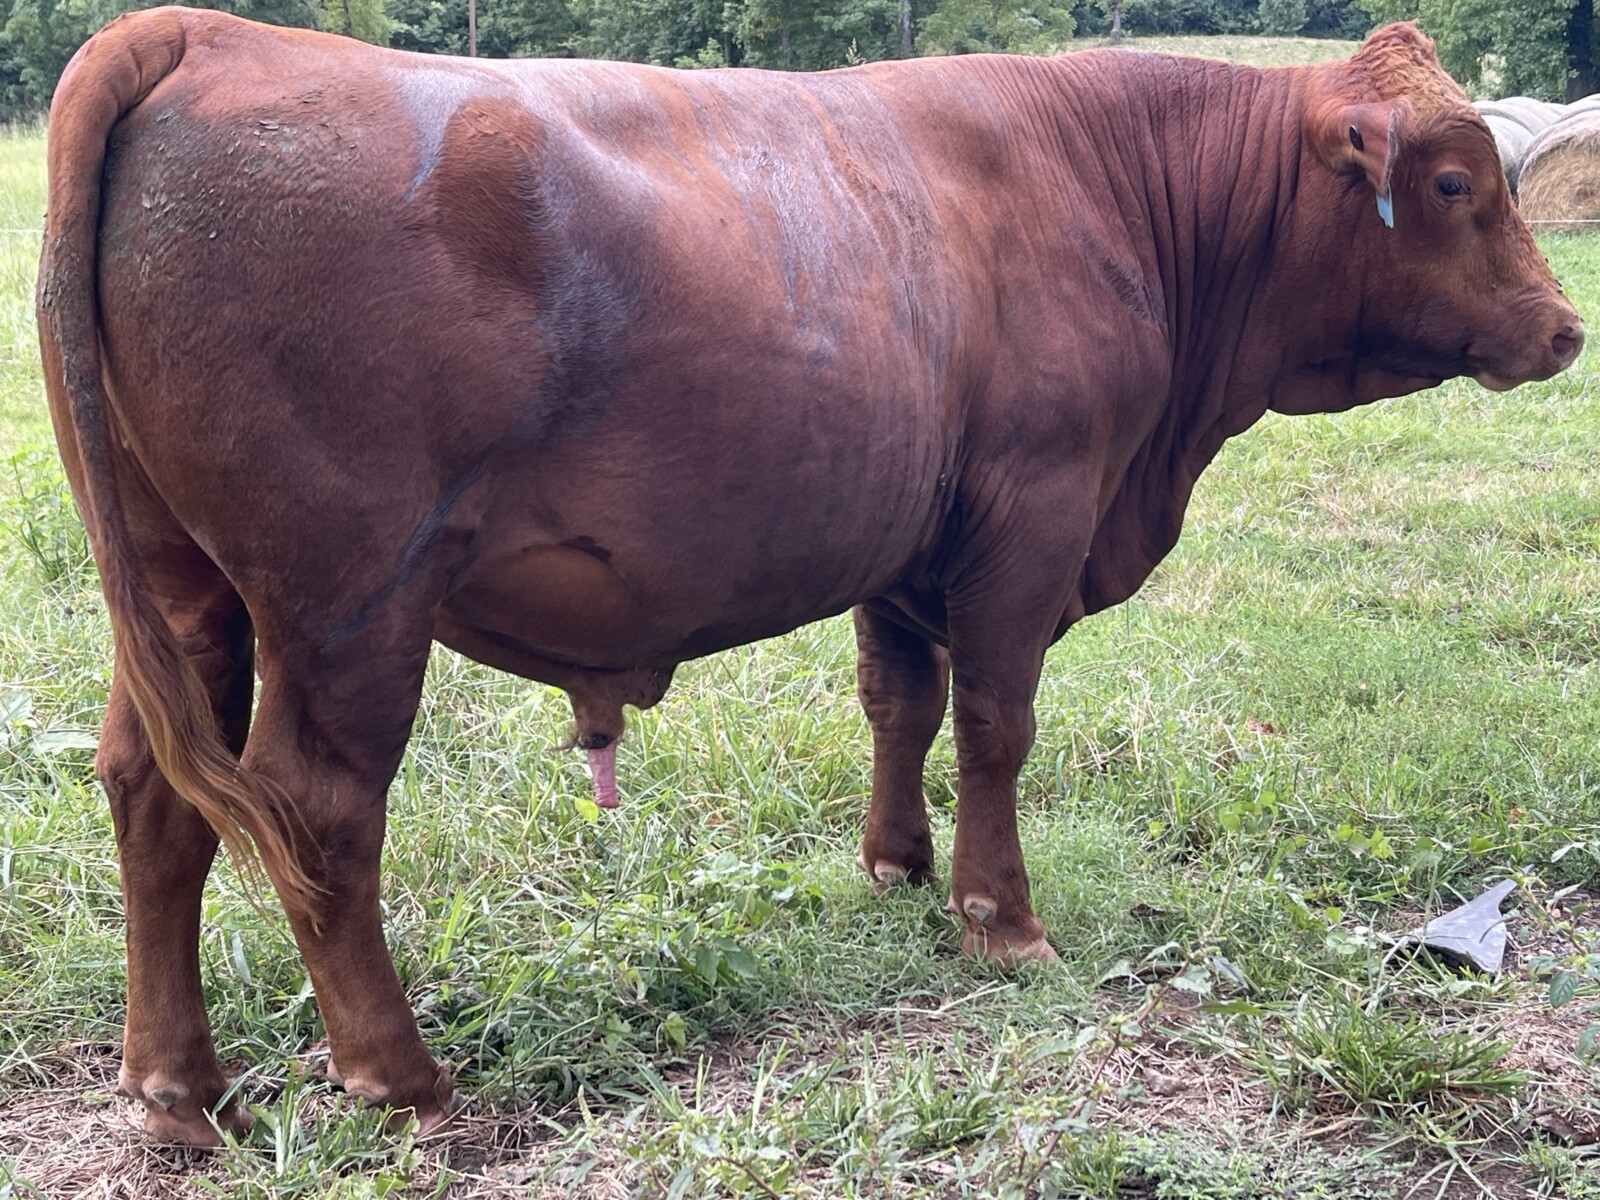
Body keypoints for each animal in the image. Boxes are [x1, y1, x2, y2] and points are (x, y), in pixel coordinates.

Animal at [38, 7, 1581, 1144]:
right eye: (1454, 183)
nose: (1566, 328)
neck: (1117, 189)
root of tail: (209, 33)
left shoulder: (906, 543)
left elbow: (901, 704)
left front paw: (896, 869)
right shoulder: (1031, 514)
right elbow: (997, 725)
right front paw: (1000, 920)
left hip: (185, 592)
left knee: (153, 791)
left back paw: (180, 1089)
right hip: (349, 605)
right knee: (315, 810)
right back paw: (399, 1075)